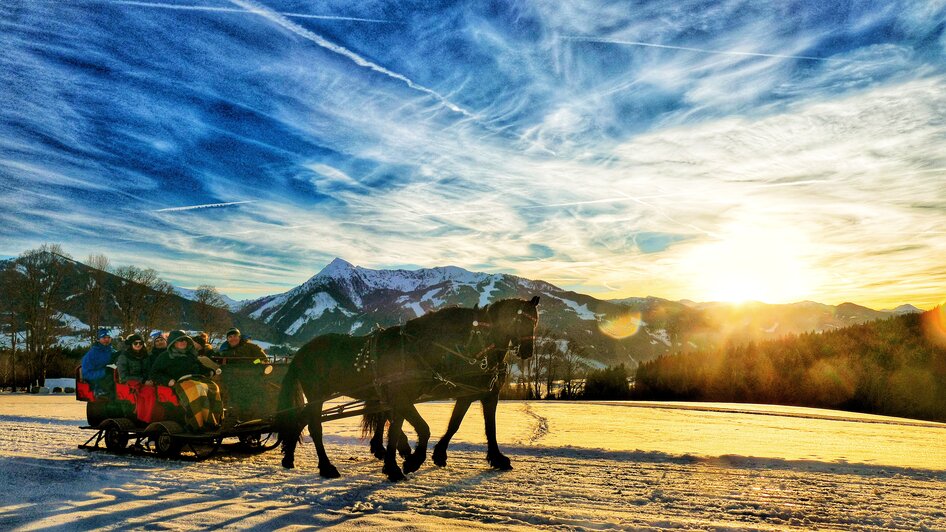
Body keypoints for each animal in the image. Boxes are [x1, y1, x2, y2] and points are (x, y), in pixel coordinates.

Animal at [276, 298, 536, 480]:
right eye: (520, 321)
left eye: (535, 322)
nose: (527, 352)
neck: (417, 347)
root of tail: (301, 351)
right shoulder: (408, 397)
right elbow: (427, 427)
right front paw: (414, 461)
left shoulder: (485, 394)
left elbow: (485, 428)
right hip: (318, 394)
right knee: (315, 427)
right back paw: (326, 466)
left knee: (301, 420)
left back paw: (289, 457)